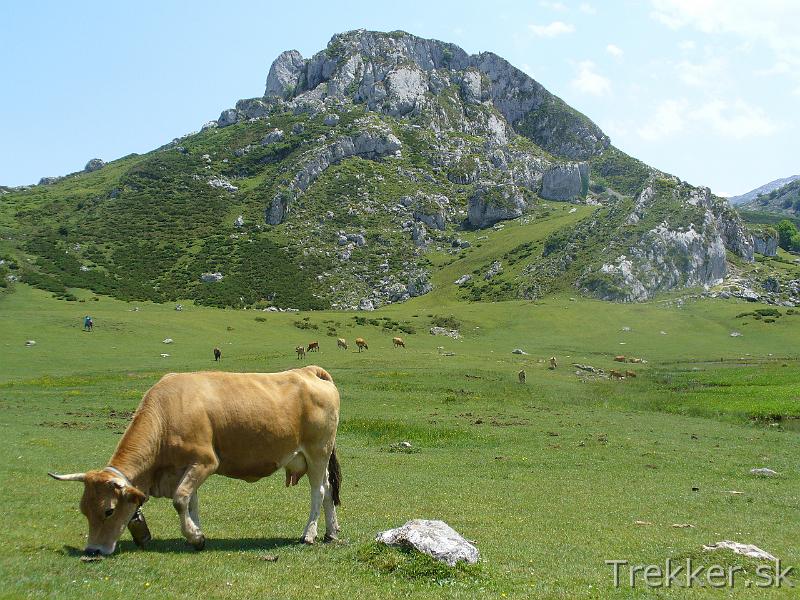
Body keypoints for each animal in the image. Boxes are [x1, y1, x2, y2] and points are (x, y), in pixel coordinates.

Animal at [47, 366, 340, 556]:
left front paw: (195, 537)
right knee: (327, 490)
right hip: (316, 458)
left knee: (318, 491)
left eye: (108, 511)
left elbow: (180, 499)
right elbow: (191, 500)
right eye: (84, 510)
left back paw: (309, 534)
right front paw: (196, 533)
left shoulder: (205, 462)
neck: (167, 413)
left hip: (317, 452)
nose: (92, 550)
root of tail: (309, 370)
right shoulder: (185, 468)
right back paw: (331, 532)